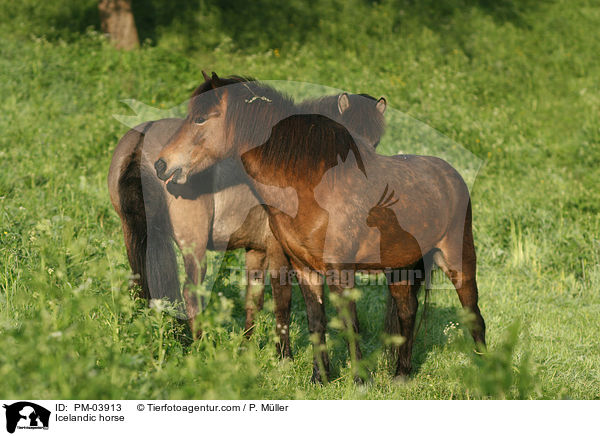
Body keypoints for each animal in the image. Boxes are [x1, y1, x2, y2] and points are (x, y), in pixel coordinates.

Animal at [106, 76, 384, 356]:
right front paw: (284, 356)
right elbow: (282, 301)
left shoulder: (256, 251)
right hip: (193, 246)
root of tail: (141, 143)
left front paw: (246, 348)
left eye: (375, 143)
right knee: (191, 294)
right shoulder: (279, 250)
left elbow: (254, 300)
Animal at [157, 75, 486, 382]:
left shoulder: (339, 270)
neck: (312, 188)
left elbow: (348, 324)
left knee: (473, 314)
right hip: (401, 267)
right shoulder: (304, 268)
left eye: (200, 118)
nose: (162, 164)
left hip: (457, 259)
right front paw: (319, 377)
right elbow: (316, 321)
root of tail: (451, 176)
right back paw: (401, 376)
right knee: (407, 312)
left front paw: (359, 381)